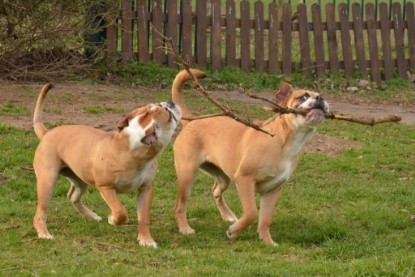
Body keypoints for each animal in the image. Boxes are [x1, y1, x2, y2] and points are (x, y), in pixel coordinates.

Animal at [32, 83, 182, 246]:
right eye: (168, 114)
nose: (171, 102)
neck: (131, 148)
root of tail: (47, 133)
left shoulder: (146, 189)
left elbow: (144, 218)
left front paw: (146, 240)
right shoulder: (106, 187)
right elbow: (120, 211)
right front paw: (113, 219)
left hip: (80, 179)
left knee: (72, 196)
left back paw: (92, 216)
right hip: (47, 181)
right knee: (41, 211)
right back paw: (44, 233)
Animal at [171, 68, 328, 244]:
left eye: (320, 95)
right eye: (303, 96)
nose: (320, 98)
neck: (285, 141)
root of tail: (191, 120)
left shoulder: (273, 190)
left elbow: (265, 219)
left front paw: (267, 241)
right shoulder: (244, 179)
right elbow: (252, 213)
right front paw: (233, 232)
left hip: (223, 176)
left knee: (215, 190)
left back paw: (228, 215)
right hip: (187, 175)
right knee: (179, 206)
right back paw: (185, 229)